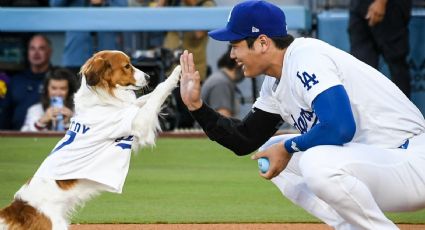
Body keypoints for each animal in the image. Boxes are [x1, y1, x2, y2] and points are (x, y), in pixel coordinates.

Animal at [0, 50, 181, 230]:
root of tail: (20, 206)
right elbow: (157, 92)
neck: (100, 100)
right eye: (126, 66)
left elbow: (143, 99)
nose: (149, 77)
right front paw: (176, 72)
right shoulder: (138, 123)